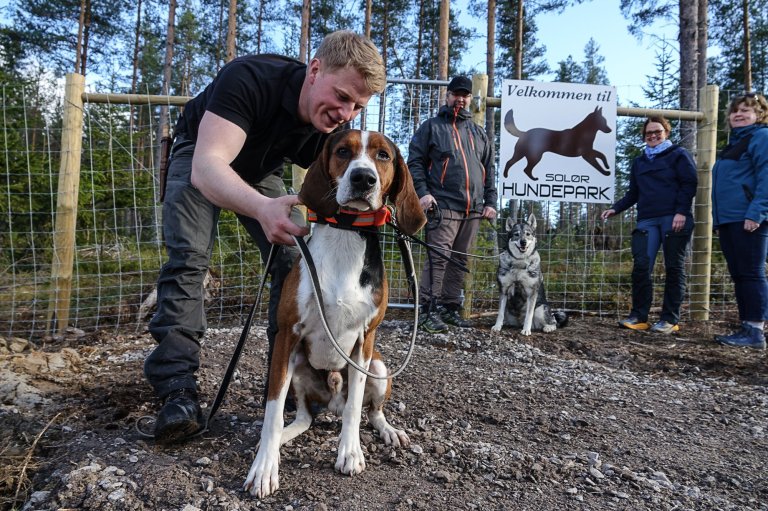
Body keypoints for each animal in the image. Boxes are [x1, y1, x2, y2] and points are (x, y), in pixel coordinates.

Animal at [244, 130, 426, 498]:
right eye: (343, 151)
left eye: (383, 156)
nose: (363, 179)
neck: (345, 235)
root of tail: (331, 404)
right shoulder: (287, 335)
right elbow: (273, 412)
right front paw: (264, 468)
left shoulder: (365, 340)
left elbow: (356, 408)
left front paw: (350, 452)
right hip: (298, 366)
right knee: (302, 418)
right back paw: (282, 438)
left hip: (379, 366)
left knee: (372, 412)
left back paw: (389, 430)